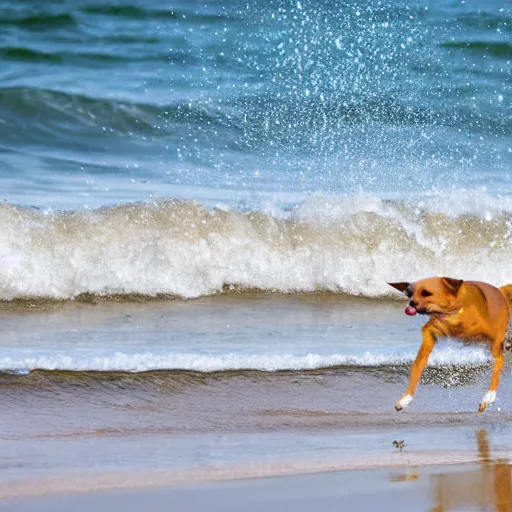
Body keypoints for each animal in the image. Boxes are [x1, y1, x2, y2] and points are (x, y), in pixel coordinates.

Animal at [388, 276, 512, 412]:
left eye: (426, 293)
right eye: (410, 294)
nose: (411, 303)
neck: (454, 314)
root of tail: (500, 291)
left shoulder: (496, 339)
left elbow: (498, 364)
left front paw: (489, 397)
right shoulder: (432, 332)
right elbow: (418, 365)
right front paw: (406, 398)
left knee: (499, 361)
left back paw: (489, 395)